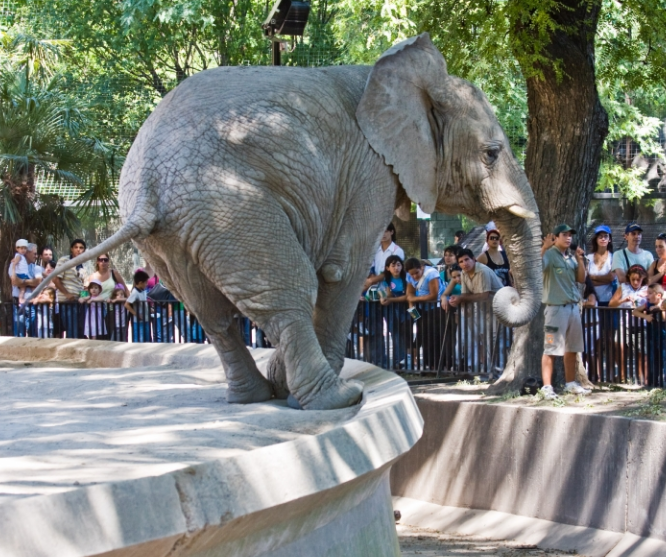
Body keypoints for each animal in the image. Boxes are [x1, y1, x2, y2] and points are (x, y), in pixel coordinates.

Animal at [28, 32, 544, 410]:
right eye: (492, 153)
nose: (504, 293)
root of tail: (148, 190)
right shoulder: (369, 173)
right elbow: (342, 272)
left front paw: (281, 381)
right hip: (231, 205)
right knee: (287, 291)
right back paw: (335, 398)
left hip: (177, 234)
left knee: (212, 315)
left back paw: (256, 396)